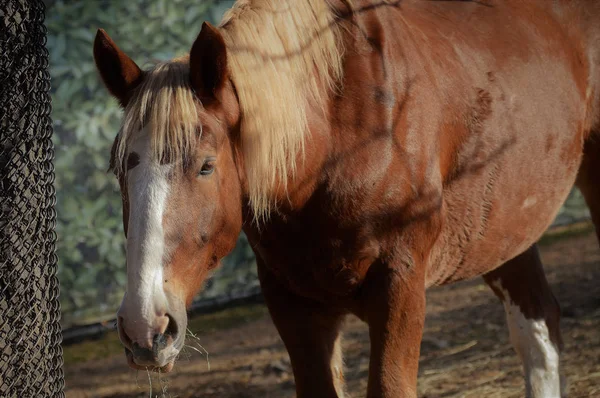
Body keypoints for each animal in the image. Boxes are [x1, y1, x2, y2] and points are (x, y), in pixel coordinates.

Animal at [91, 1, 600, 396]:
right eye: (119, 168)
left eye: (205, 165)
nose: (145, 327)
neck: (340, 134)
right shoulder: (293, 304)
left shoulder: (400, 287)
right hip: (505, 229)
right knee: (538, 332)